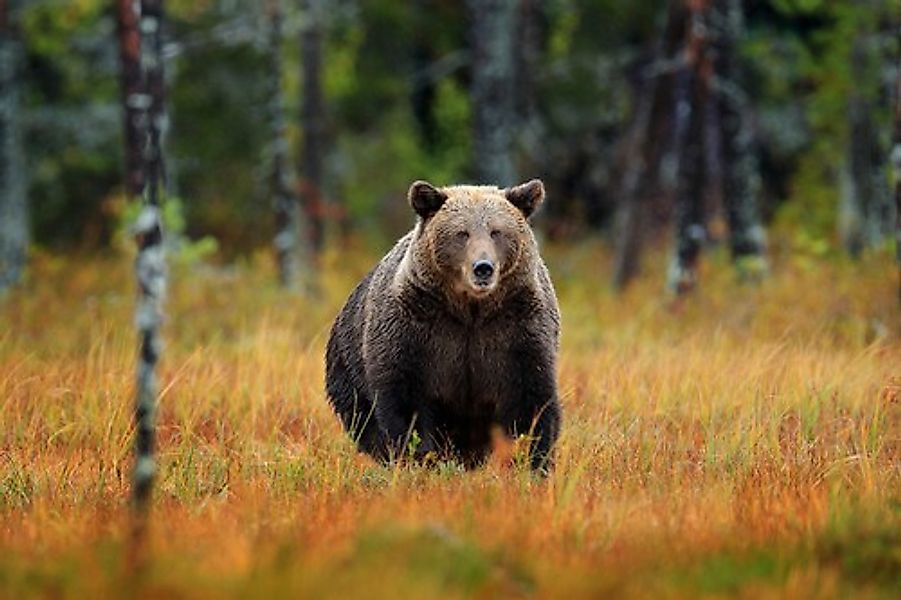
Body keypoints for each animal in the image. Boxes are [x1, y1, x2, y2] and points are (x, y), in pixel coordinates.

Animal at [324, 178, 564, 474]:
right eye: (462, 233)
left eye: (496, 232)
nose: (483, 268)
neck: (471, 310)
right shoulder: (415, 328)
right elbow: (407, 401)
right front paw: (421, 459)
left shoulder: (518, 329)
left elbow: (531, 400)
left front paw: (533, 462)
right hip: (347, 367)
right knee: (365, 420)